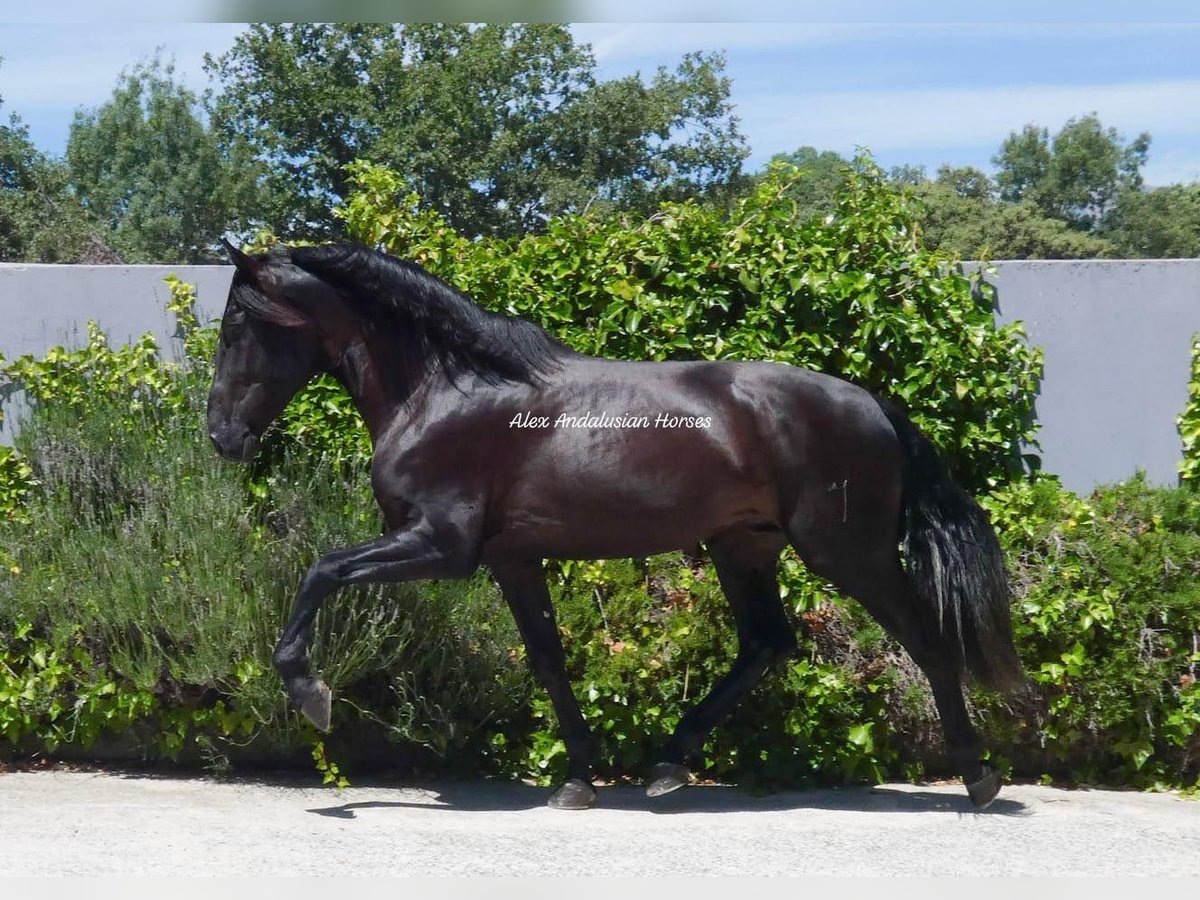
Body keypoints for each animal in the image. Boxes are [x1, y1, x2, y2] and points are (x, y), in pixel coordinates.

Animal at [204, 237, 1022, 811]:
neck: (446, 391)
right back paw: (668, 763)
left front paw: (309, 692)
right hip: (743, 547)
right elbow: (549, 660)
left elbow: (321, 570)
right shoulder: (510, 559)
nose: (221, 435)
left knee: (926, 639)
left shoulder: (440, 544)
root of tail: (876, 405)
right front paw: (577, 778)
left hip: (848, 552)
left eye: (238, 323)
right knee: (767, 643)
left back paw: (977, 776)